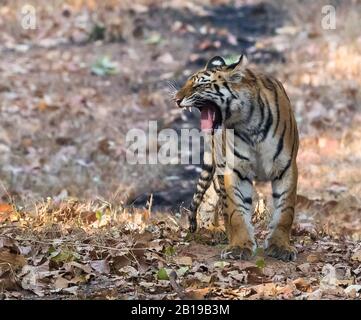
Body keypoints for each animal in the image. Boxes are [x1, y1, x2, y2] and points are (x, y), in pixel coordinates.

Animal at [174, 53, 298, 262]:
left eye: (200, 85)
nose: (176, 99)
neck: (249, 124)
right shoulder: (235, 170)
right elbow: (236, 212)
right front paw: (239, 246)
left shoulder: (286, 167)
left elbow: (285, 211)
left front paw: (280, 246)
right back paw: (215, 230)